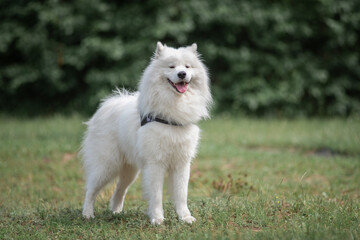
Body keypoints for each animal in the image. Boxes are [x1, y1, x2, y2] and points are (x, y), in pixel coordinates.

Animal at [80, 41, 212, 225]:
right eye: (171, 66)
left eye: (187, 66)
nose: (182, 74)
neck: (172, 112)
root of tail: (108, 104)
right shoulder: (155, 163)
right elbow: (156, 195)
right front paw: (157, 219)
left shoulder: (181, 163)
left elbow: (181, 194)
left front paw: (185, 217)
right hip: (106, 165)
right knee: (90, 190)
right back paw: (87, 214)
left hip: (129, 170)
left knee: (119, 189)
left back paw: (116, 212)